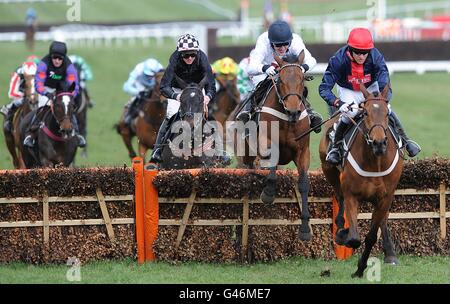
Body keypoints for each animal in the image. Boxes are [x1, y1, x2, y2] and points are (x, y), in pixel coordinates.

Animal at [237, 51, 314, 242]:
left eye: (302, 79)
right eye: (281, 81)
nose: (293, 111)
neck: (287, 120)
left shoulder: (303, 152)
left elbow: (303, 184)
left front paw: (305, 229)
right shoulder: (266, 143)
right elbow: (271, 168)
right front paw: (268, 193)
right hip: (248, 150)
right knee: (249, 165)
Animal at [318, 83, 402, 278]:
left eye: (386, 113)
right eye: (365, 113)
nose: (379, 143)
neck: (375, 162)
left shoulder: (385, 197)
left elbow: (370, 237)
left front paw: (360, 268)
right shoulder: (352, 195)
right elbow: (355, 238)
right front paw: (344, 235)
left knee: (383, 219)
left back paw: (390, 254)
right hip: (329, 170)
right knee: (339, 196)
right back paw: (341, 228)